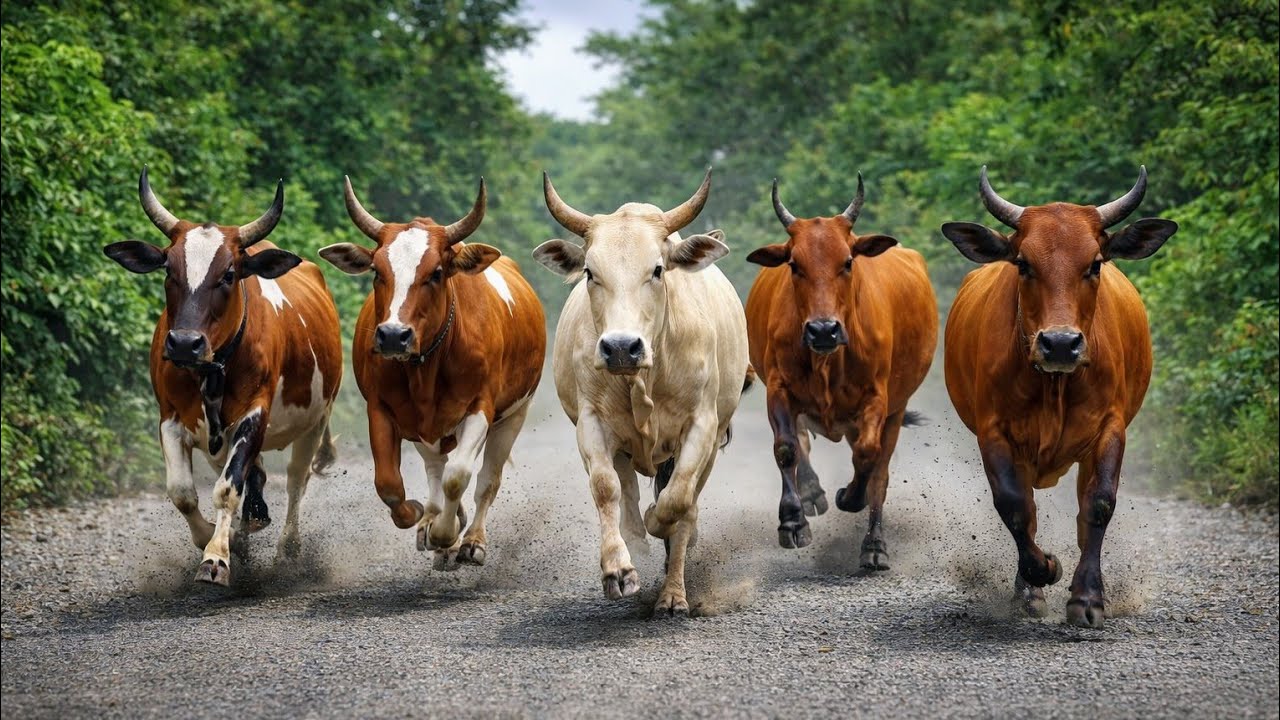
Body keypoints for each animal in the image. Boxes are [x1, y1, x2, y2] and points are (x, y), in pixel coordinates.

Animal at [103, 167, 342, 586]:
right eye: (169, 269)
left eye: (229, 274)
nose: (184, 344)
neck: (212, 370)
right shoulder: (170, 418)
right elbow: (182, 491)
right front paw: (218, 540)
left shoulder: (253, 415)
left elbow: (228, 489)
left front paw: (216, 557)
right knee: (255, 477)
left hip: (316, 420)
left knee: (296, 479)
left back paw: (288, 547)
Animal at [318, 177, 545, 567]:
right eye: (377, 271)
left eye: (436, 273)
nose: (393, 335)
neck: (426, 368)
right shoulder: (381, 409)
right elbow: (389, 484)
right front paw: (420, 516)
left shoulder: (480, 408)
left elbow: (460, 477)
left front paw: (446, 533)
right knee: (435, 468)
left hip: (514, 415)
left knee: (487, 480)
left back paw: (471, 539)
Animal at [533, 169, 752, 616]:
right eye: (590, 272)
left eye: (657, 269)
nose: (620, 347)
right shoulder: (592, 424)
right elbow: (607, 489)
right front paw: (618, 569)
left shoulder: (702, 426)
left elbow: (677, 500)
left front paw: (662, 528)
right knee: (627, 492)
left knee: (685, 501)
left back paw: (672, 594)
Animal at [744, 175, 938, 569]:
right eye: (794, 264)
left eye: (848, 262)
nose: (823, 330)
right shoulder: (778, 388)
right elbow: (786, 448)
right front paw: (792, 521)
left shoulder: (878, 398)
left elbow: (868, 455)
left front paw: (850, 497)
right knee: (803, 442)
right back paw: (811, 495)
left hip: (895, 409)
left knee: (880, 469)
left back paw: (874, 545)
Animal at [941, 166, 1178, 628]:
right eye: (1023, 263)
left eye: (1095, 264)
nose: (1061, 344)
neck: (1055, 386)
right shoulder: (994, 433)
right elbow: (1015, 507)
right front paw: (1042, 572)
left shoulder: (1110, 428)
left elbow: (1099, 504)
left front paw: (1087, 598)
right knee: (1028, 510)